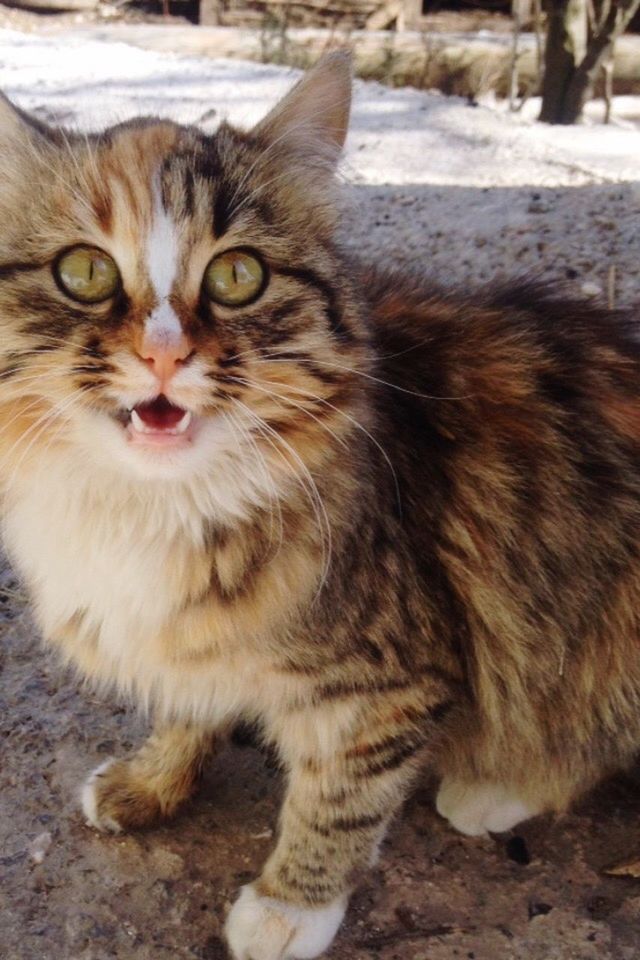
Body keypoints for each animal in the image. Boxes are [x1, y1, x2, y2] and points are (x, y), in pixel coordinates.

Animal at [1, 50, 640, 960]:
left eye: (236, 276)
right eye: (83, 272)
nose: (163, 354)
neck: (154, 504)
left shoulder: (389, 679)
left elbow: (339, 800)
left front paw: (286, 909)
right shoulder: (190, 646)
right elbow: (186, 708)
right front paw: (151, 782)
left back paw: (495, 786)